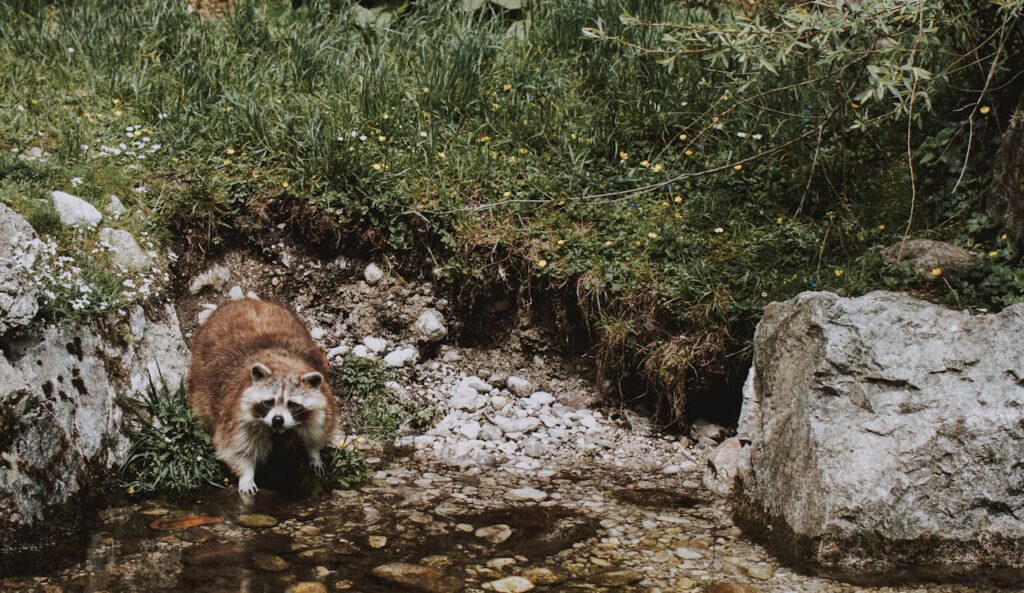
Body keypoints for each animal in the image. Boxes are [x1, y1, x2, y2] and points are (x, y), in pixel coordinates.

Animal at [187, 299, 337, 494]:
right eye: (269, 402)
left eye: (292, 404)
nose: (277, 419)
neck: (284, 366)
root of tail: (244, 301)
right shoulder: (236, 415)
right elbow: (236, 448)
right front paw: (246, 475)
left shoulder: (323, 406)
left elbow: (317, 432)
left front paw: (314, 454)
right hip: (201, 378)